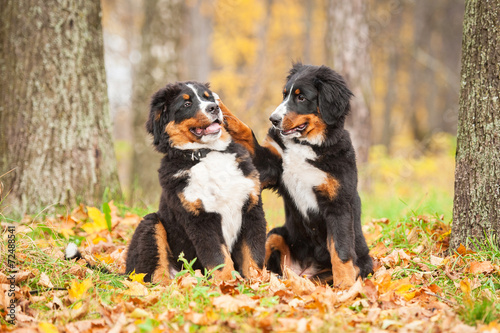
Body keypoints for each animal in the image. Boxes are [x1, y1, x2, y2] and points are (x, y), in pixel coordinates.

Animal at [124, 81, 266, 282]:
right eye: (186, 104)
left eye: (208, 97)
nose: (214, 107)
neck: (207, 153)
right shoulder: (199, 217)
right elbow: (218, 257)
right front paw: (227, 284)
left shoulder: (252, 207)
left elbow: (253, 255)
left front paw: (260, 283)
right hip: (151, 224)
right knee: (155, 275)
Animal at [219, 63, 372, 286]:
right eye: (284, 95)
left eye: (301, 97)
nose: (273, 120)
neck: (306, 145)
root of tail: (302, 271)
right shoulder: (270, 166)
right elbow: (246, 132)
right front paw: (222, 111)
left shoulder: (338, 203)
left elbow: (341, 250)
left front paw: (345, 285)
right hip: (276, 234)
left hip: (362, 263)